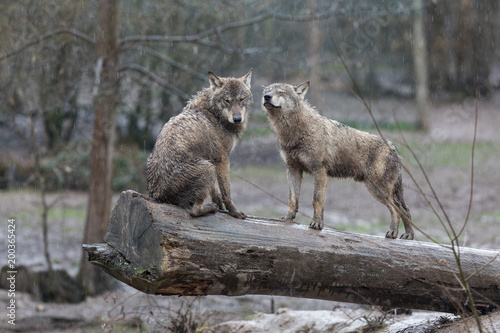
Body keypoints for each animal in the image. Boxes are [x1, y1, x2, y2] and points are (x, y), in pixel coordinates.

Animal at [146, 69, 252, 218]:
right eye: (227, 100)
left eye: (241, 99)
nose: (237, 119)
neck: (214, 114)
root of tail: (157, 194)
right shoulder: (222, 159)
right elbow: (226, 192)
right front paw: (234, 212)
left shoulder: (212, 159)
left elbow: (215, 191)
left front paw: (220, 206)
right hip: (209, 169)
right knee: (194, 211)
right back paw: (211, 208)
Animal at [262, 81, 414, 240]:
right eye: (267, 92)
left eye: (280, 92)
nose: (267, 97)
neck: (293, 132)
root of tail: (394, 148)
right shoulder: (293, 169)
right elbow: (292, 199)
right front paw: (287, 219)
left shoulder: (319, 171)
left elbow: (316, 200)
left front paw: (317, 224)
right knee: (406, 209)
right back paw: (408, 235)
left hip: (377, 190)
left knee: (397, 210)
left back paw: (393, 233)